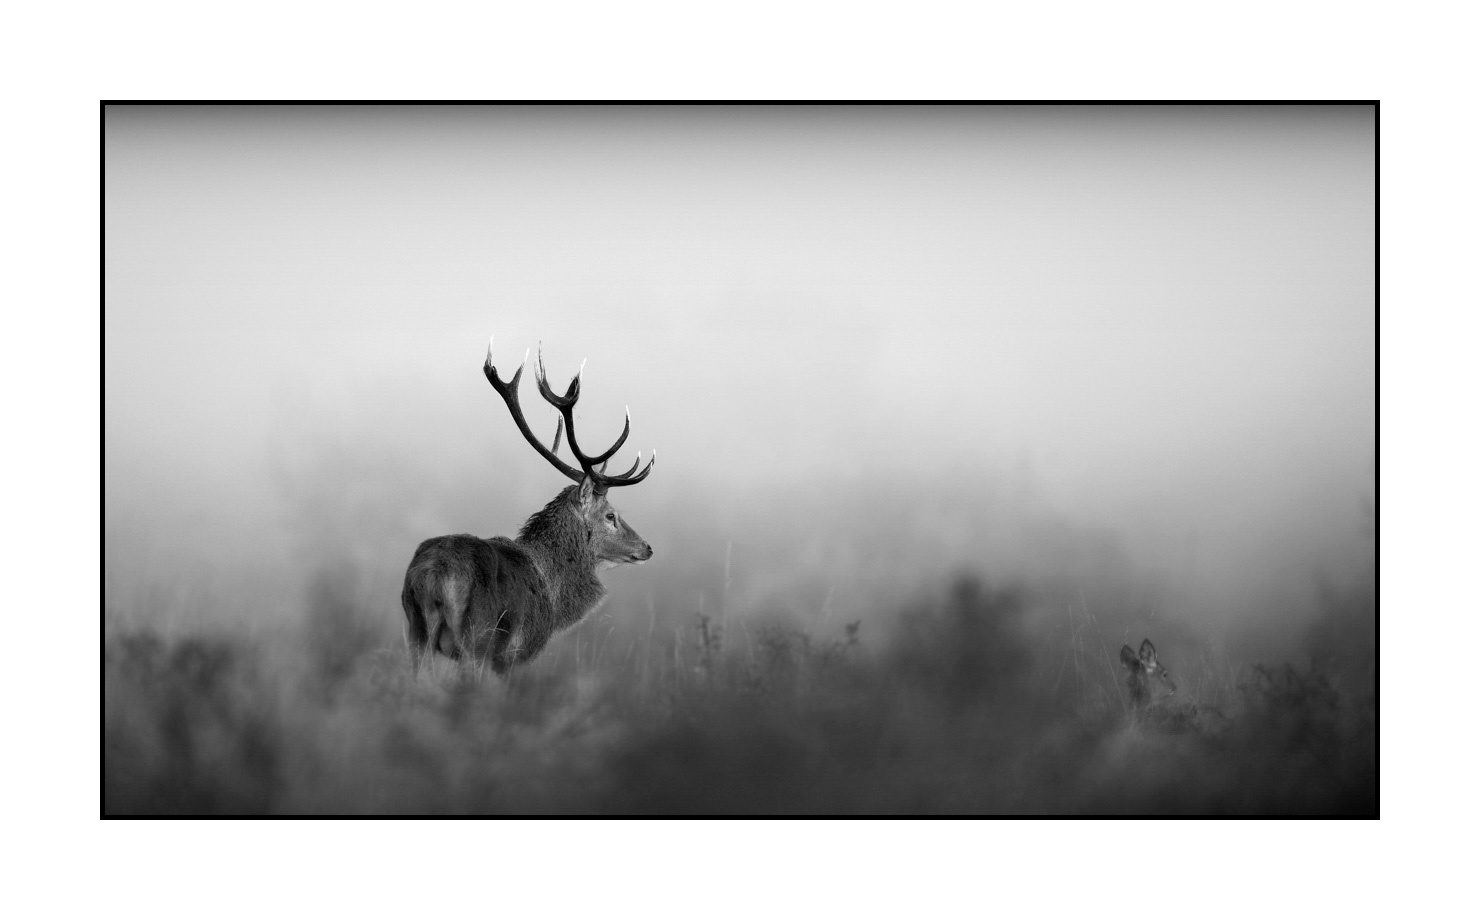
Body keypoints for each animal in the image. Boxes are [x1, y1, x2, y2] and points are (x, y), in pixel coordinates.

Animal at [400, 339, 656, 676]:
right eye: (611, 515)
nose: (647, 548)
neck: (554, 600)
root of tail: (433, 574)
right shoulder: (515, 653)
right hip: (477, 638)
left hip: (416, 632)